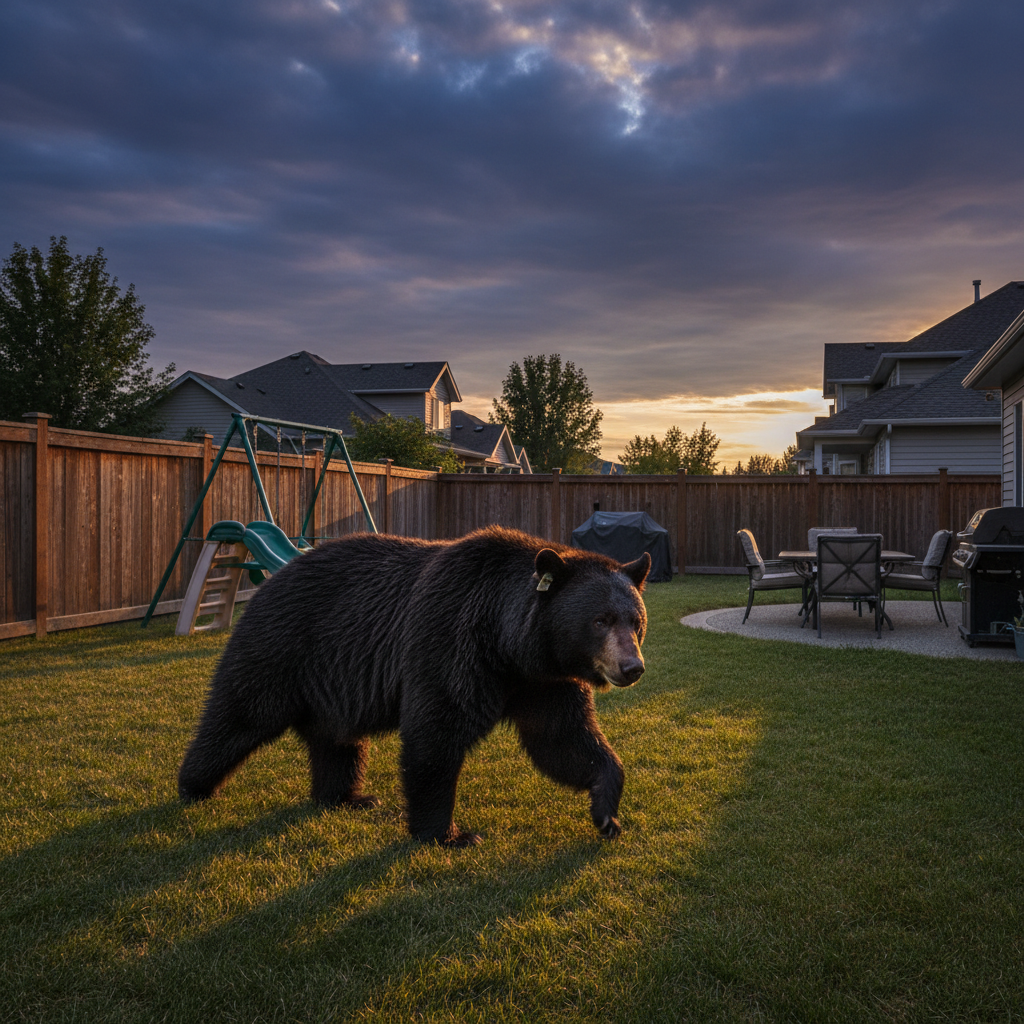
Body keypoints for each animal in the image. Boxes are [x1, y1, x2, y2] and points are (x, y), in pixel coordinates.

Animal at [177, 525, 651, 846]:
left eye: (635, 620)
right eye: (600, 620)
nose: (632, 667)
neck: (508, 643)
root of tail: (274, 576)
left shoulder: (543, 681)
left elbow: (563, 740)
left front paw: (607, 813)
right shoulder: (451, 641)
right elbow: (436, 733)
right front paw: (448, 833)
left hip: (331, 680)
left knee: (336, 737)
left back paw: (347, 797)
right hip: (282, 645)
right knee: (239, 713)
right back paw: (194, 786)